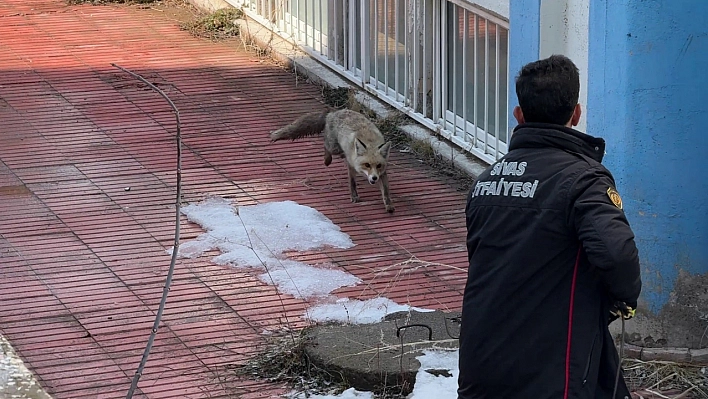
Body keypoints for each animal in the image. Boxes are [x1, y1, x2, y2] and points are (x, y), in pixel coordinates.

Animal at [268, 109, 396, 214]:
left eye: (378, 165)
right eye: (367, 165)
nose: (374, 178)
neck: (370, 143)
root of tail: (333, 112)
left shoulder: (382, 173)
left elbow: (386, 191)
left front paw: (389, 205)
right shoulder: (351, 165)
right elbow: (352, 182)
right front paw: (354, 196)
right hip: (334, 148)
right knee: (326, 145)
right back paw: (327, 160)